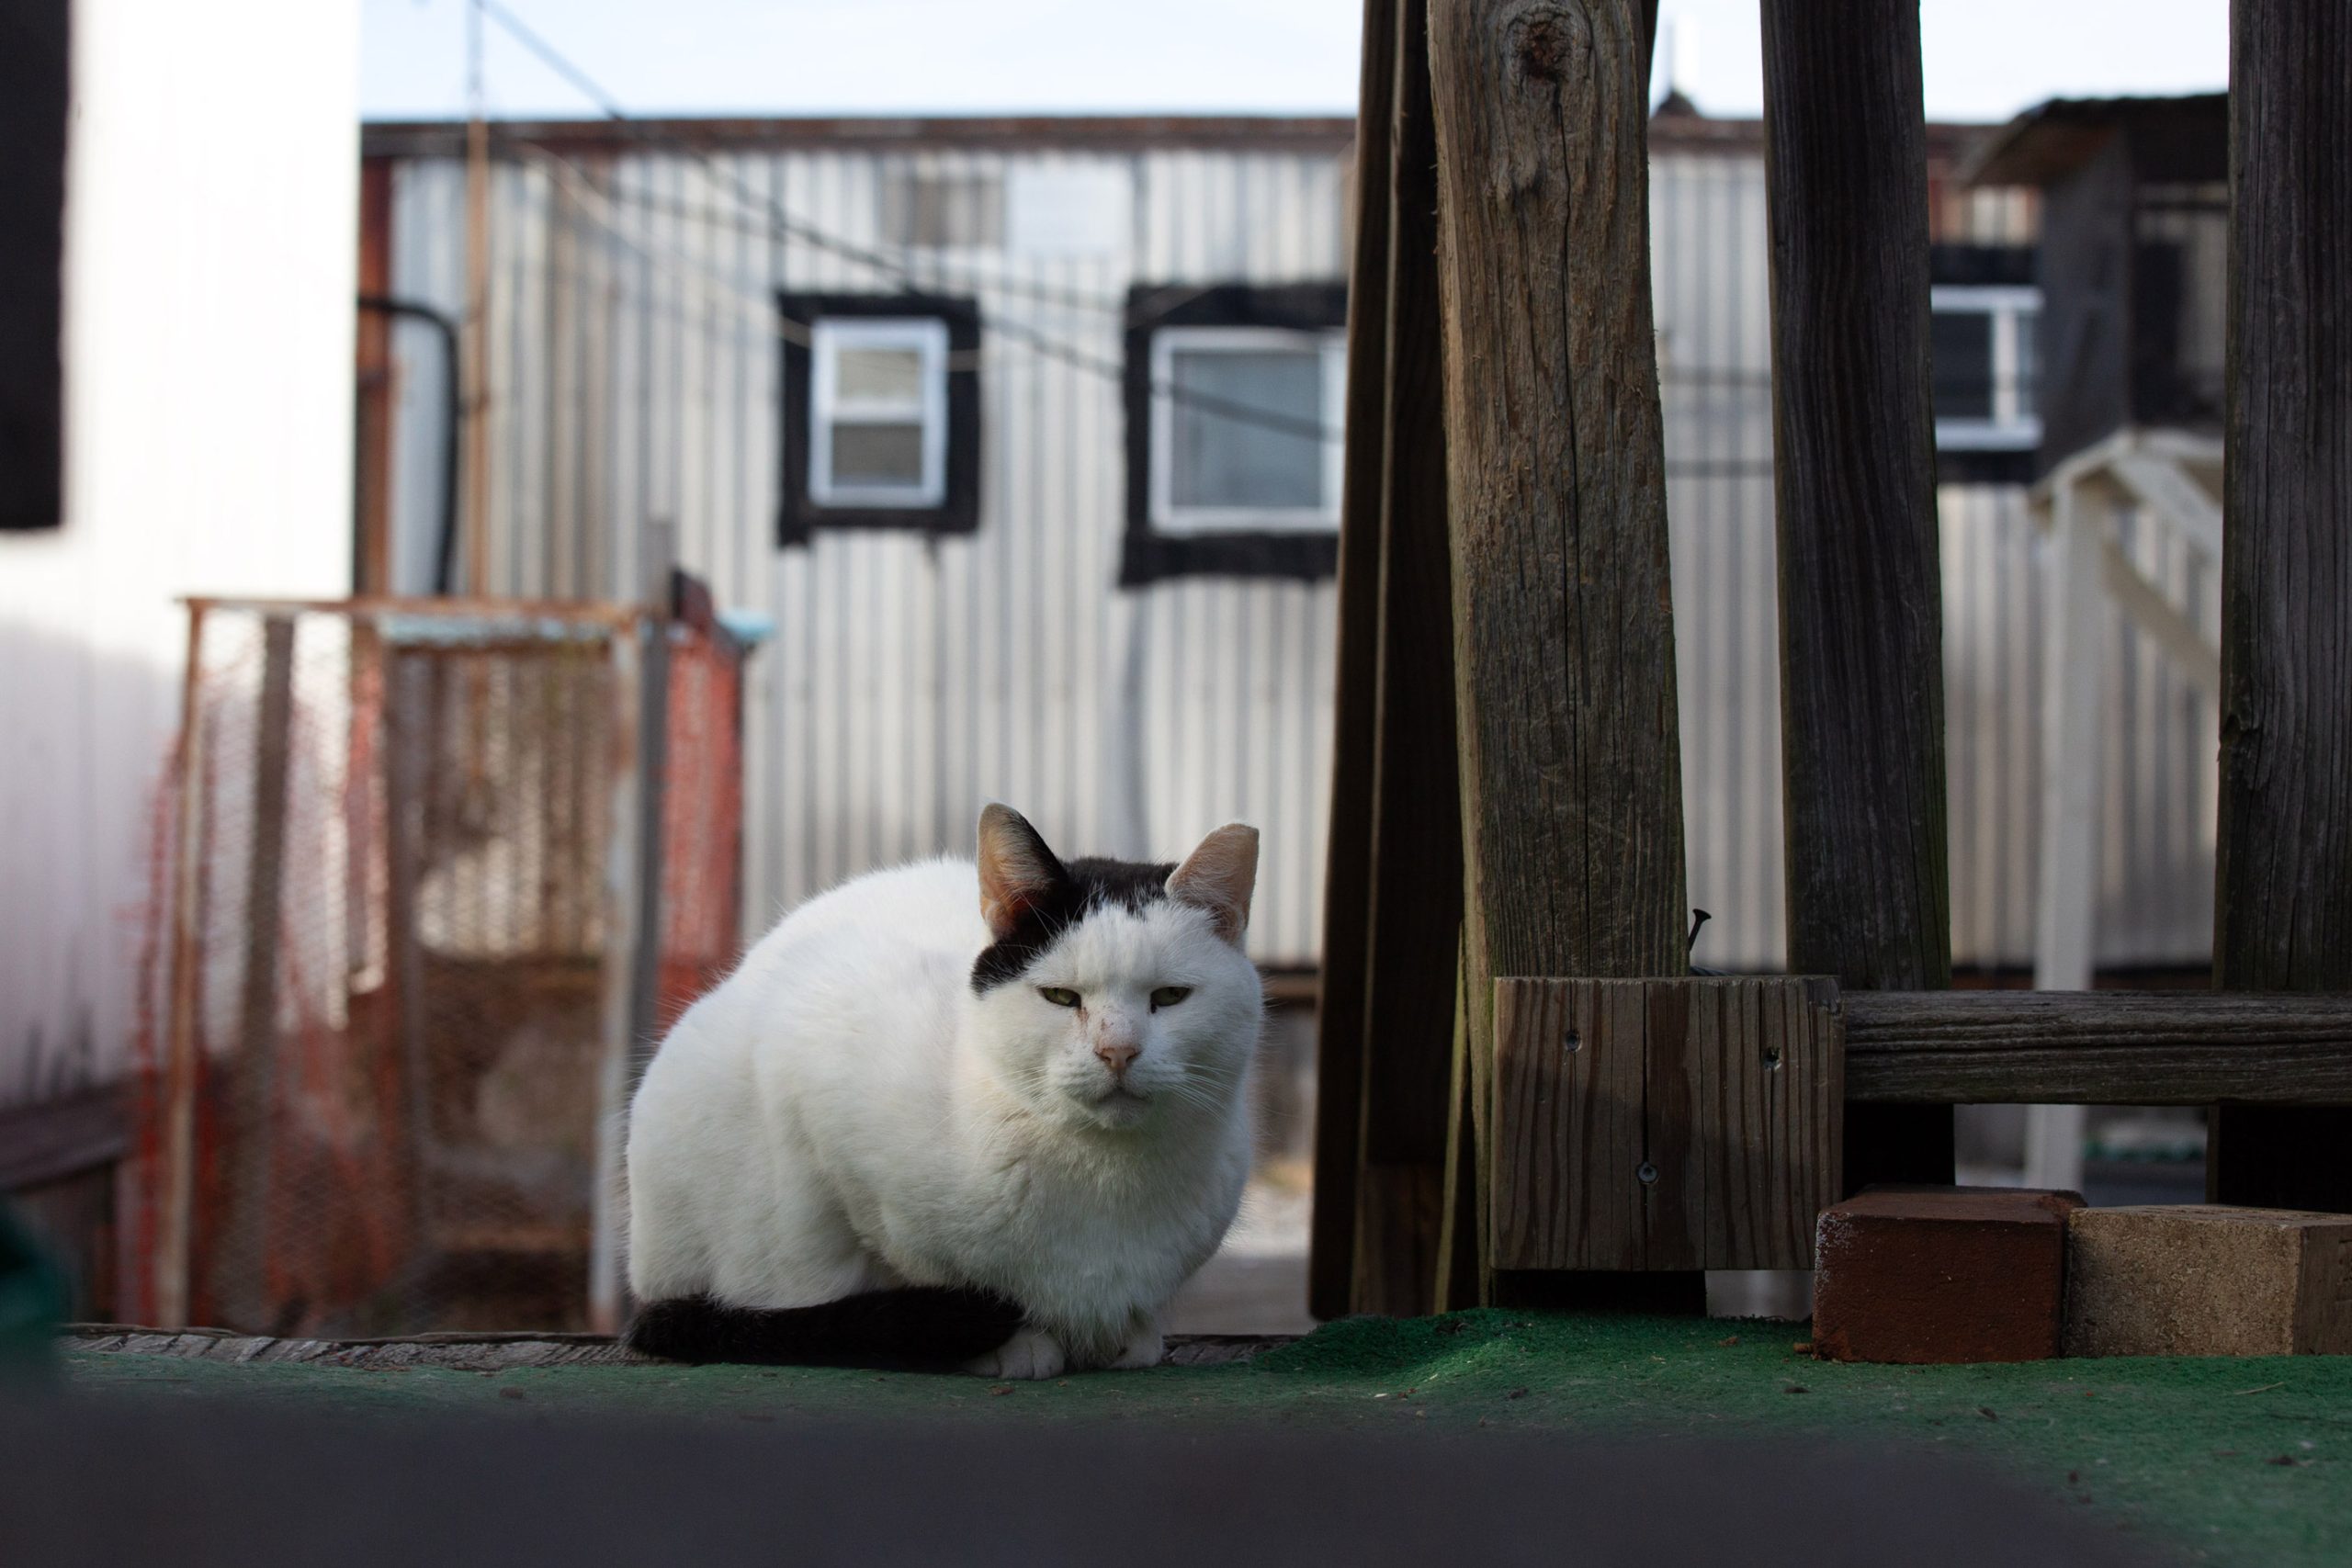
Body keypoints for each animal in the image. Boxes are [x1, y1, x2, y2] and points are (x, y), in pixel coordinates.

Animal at [616, 808, 1261, 1372]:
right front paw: (1008, 1341)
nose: (1118, 1052)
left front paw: (1129, 1332)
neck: (1105, 1175)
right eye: (1060, 997)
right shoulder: (813, 1042)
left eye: (1170, 997)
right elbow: (903, 1268)